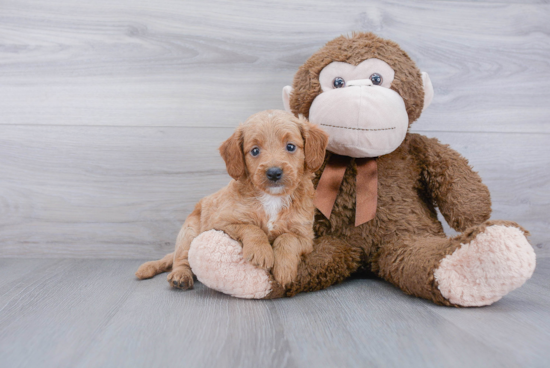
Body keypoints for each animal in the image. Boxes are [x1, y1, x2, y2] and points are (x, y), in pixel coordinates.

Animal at [136, 109, 330, 290]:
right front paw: (261, 251)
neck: (272, 198)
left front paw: (284, 269)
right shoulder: (222, 222)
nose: (274, 173)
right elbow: (252, 228)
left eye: (290, 147)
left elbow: (288, 238)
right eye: (255, 150)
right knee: (181, 259)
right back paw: (180, 276)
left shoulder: (305, 236)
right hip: (188, 233)